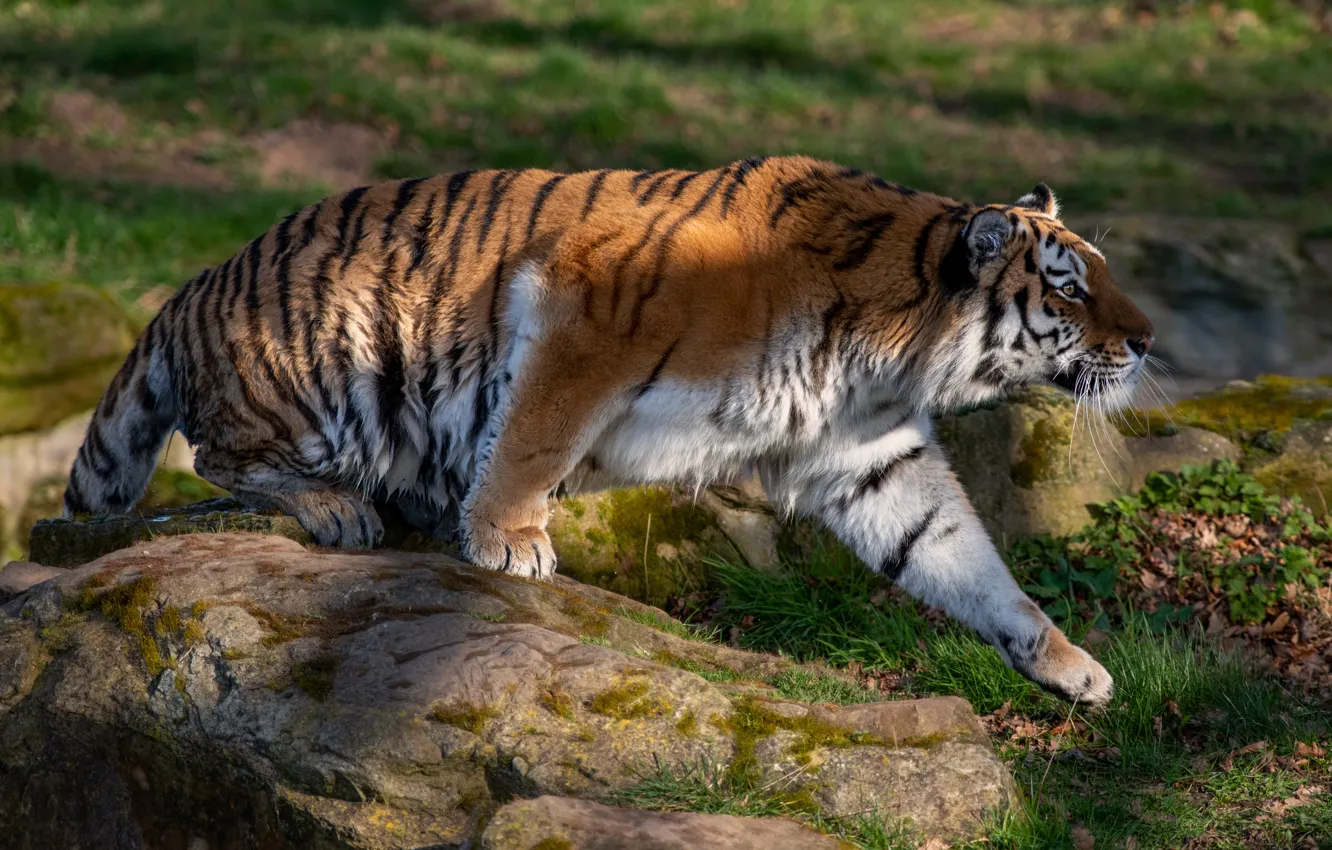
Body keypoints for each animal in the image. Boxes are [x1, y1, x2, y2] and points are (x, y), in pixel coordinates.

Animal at [63, 156, 1154, 705]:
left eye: (1101, 273)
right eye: (1069, 287)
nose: (1146, 341)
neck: (899, 340)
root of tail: (189, 290)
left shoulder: (867, 455)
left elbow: (961, 555)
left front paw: (1067, 663)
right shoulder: (591, 309)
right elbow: (533, 433)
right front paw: (508, 540)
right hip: (335, 371)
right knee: (220, 451)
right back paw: (341, 509)